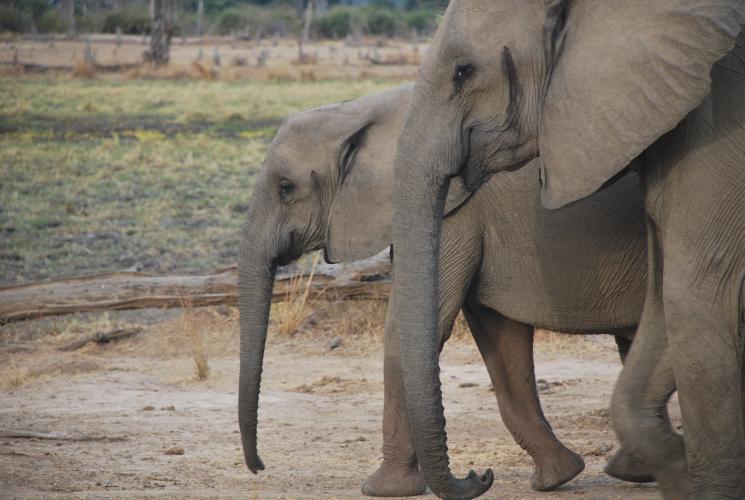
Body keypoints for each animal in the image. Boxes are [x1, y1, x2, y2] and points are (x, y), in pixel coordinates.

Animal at [237, 84, 653, 496]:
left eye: (286, 188)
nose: (259, 467)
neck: (367, 111)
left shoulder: (453, 211)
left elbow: (407, 328)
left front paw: (384, 489)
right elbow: (500, 335)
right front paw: (556, 477)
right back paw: (634, 467)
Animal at [387, 0, 745, 498]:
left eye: (463, 71)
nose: (480, 474)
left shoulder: (721, 134)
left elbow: (698, 297)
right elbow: (664, 304)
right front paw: (676, 468)